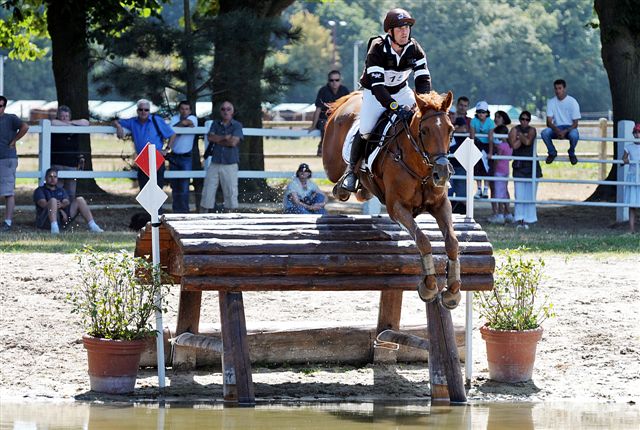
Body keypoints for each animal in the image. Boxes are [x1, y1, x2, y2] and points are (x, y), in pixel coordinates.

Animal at [324, 91, 460, 310]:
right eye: (424, 131)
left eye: (451, 130)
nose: (442, 174)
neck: (420, 167)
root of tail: (354, 96)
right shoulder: (397, 208)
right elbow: (423, 240)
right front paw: (429, 286)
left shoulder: (440, 205)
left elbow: (452, 242)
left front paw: (453, 291)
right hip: (332, 164)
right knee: (341, 172)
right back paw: (344, 186)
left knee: (363, 189)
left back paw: (362, 190)